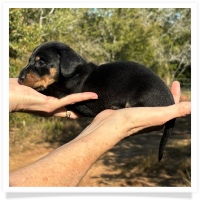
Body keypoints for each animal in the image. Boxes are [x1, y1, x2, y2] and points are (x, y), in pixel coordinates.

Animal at [18, 41, 175, 161]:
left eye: (41, 62)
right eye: (29, 60)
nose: (19, 78)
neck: (74, 74)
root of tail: (171, 102)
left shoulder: (65, 91)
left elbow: (49, 88)